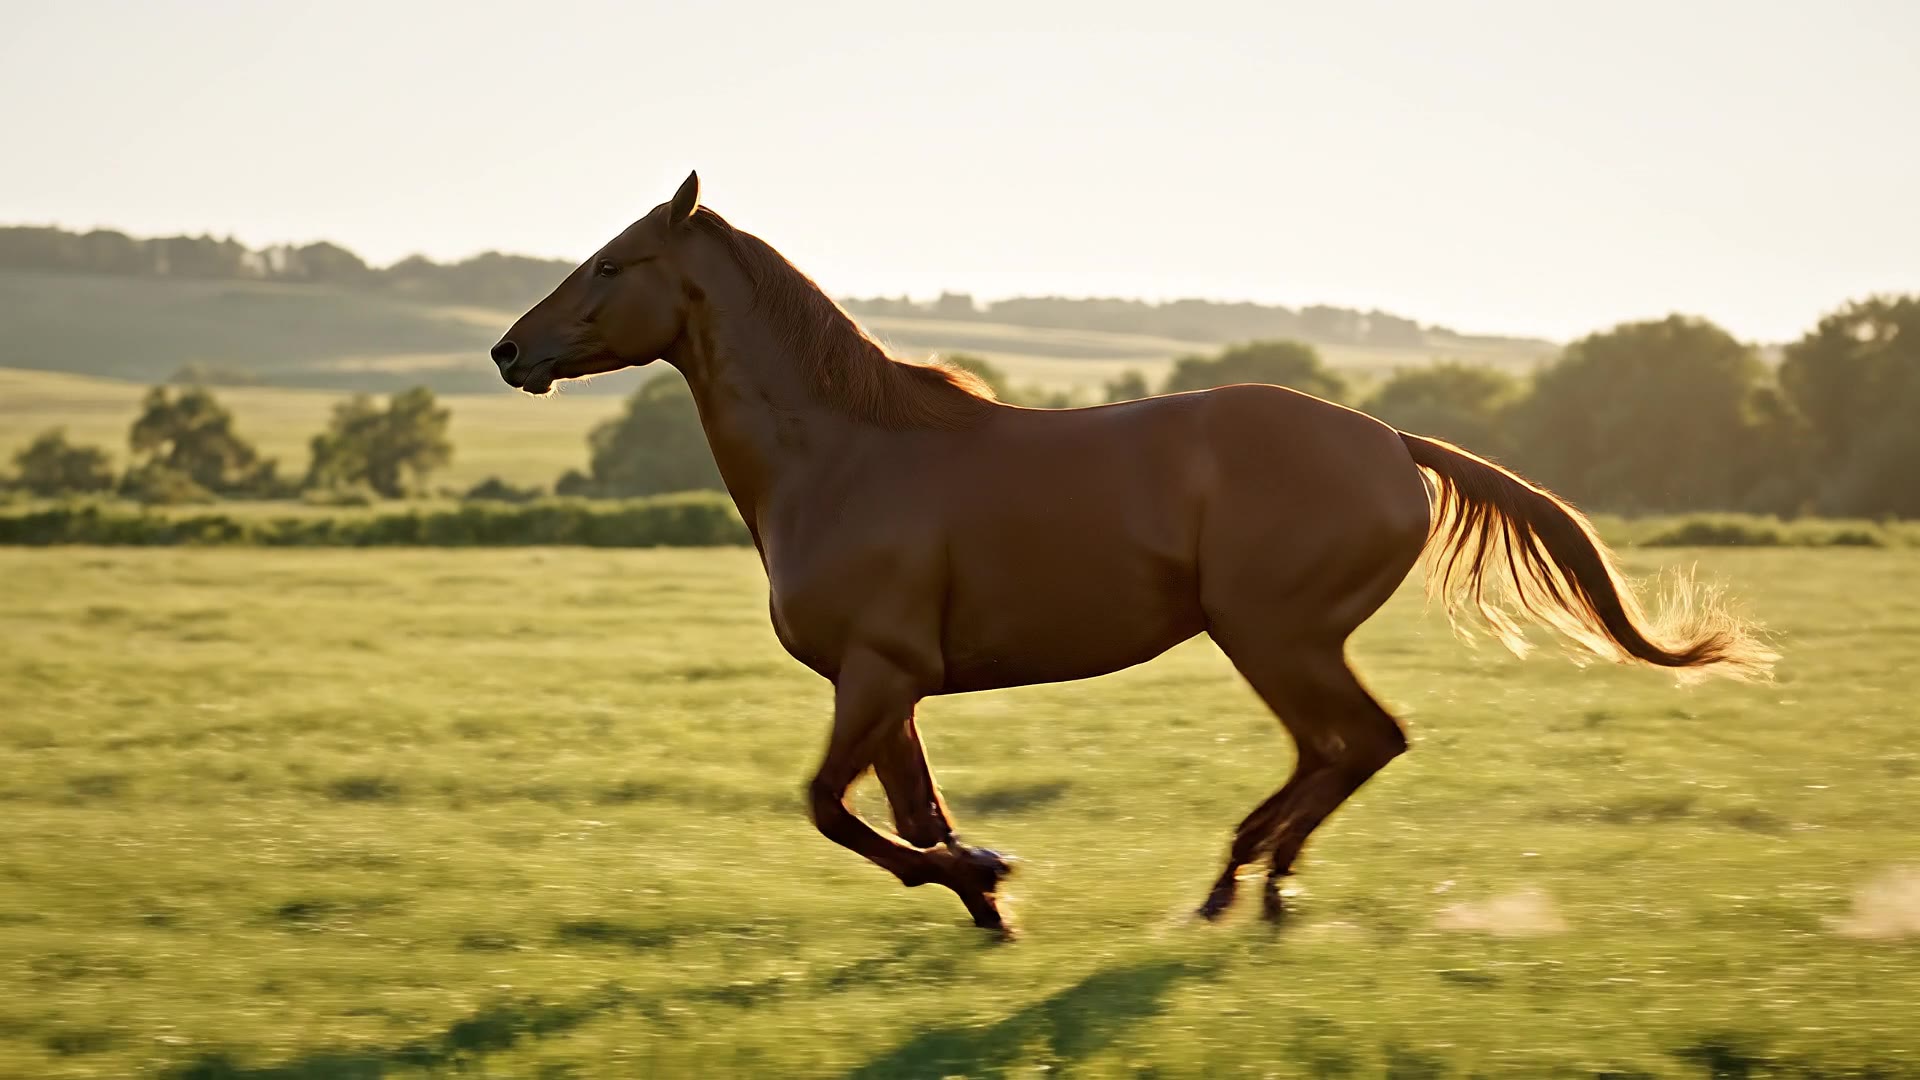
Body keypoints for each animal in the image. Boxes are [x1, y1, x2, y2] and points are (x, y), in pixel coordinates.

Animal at [493, 172, 1773, 936]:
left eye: (611, 264)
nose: (510, 351)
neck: (842, 459)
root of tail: (1388, 441)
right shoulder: (891, 685)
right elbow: (910, 813)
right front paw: (987, 902)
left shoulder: (876, 672)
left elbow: (831, 808)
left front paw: (992, 876)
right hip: (1279, 640)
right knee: (1342, 748)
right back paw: (1244, 883)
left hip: (1274, 633)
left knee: (1358, 741)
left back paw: (1252, 886)